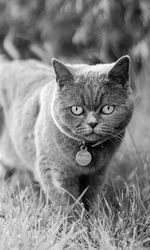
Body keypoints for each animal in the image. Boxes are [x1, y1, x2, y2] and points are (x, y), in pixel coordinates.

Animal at [0, 56, 134, 213]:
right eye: (76, 109)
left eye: (108, 108)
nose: (92, 123)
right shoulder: (53, 171)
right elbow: (67, 201)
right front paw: (76, 218)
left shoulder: (98, 172)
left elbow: (92, 196)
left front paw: (96, 216)